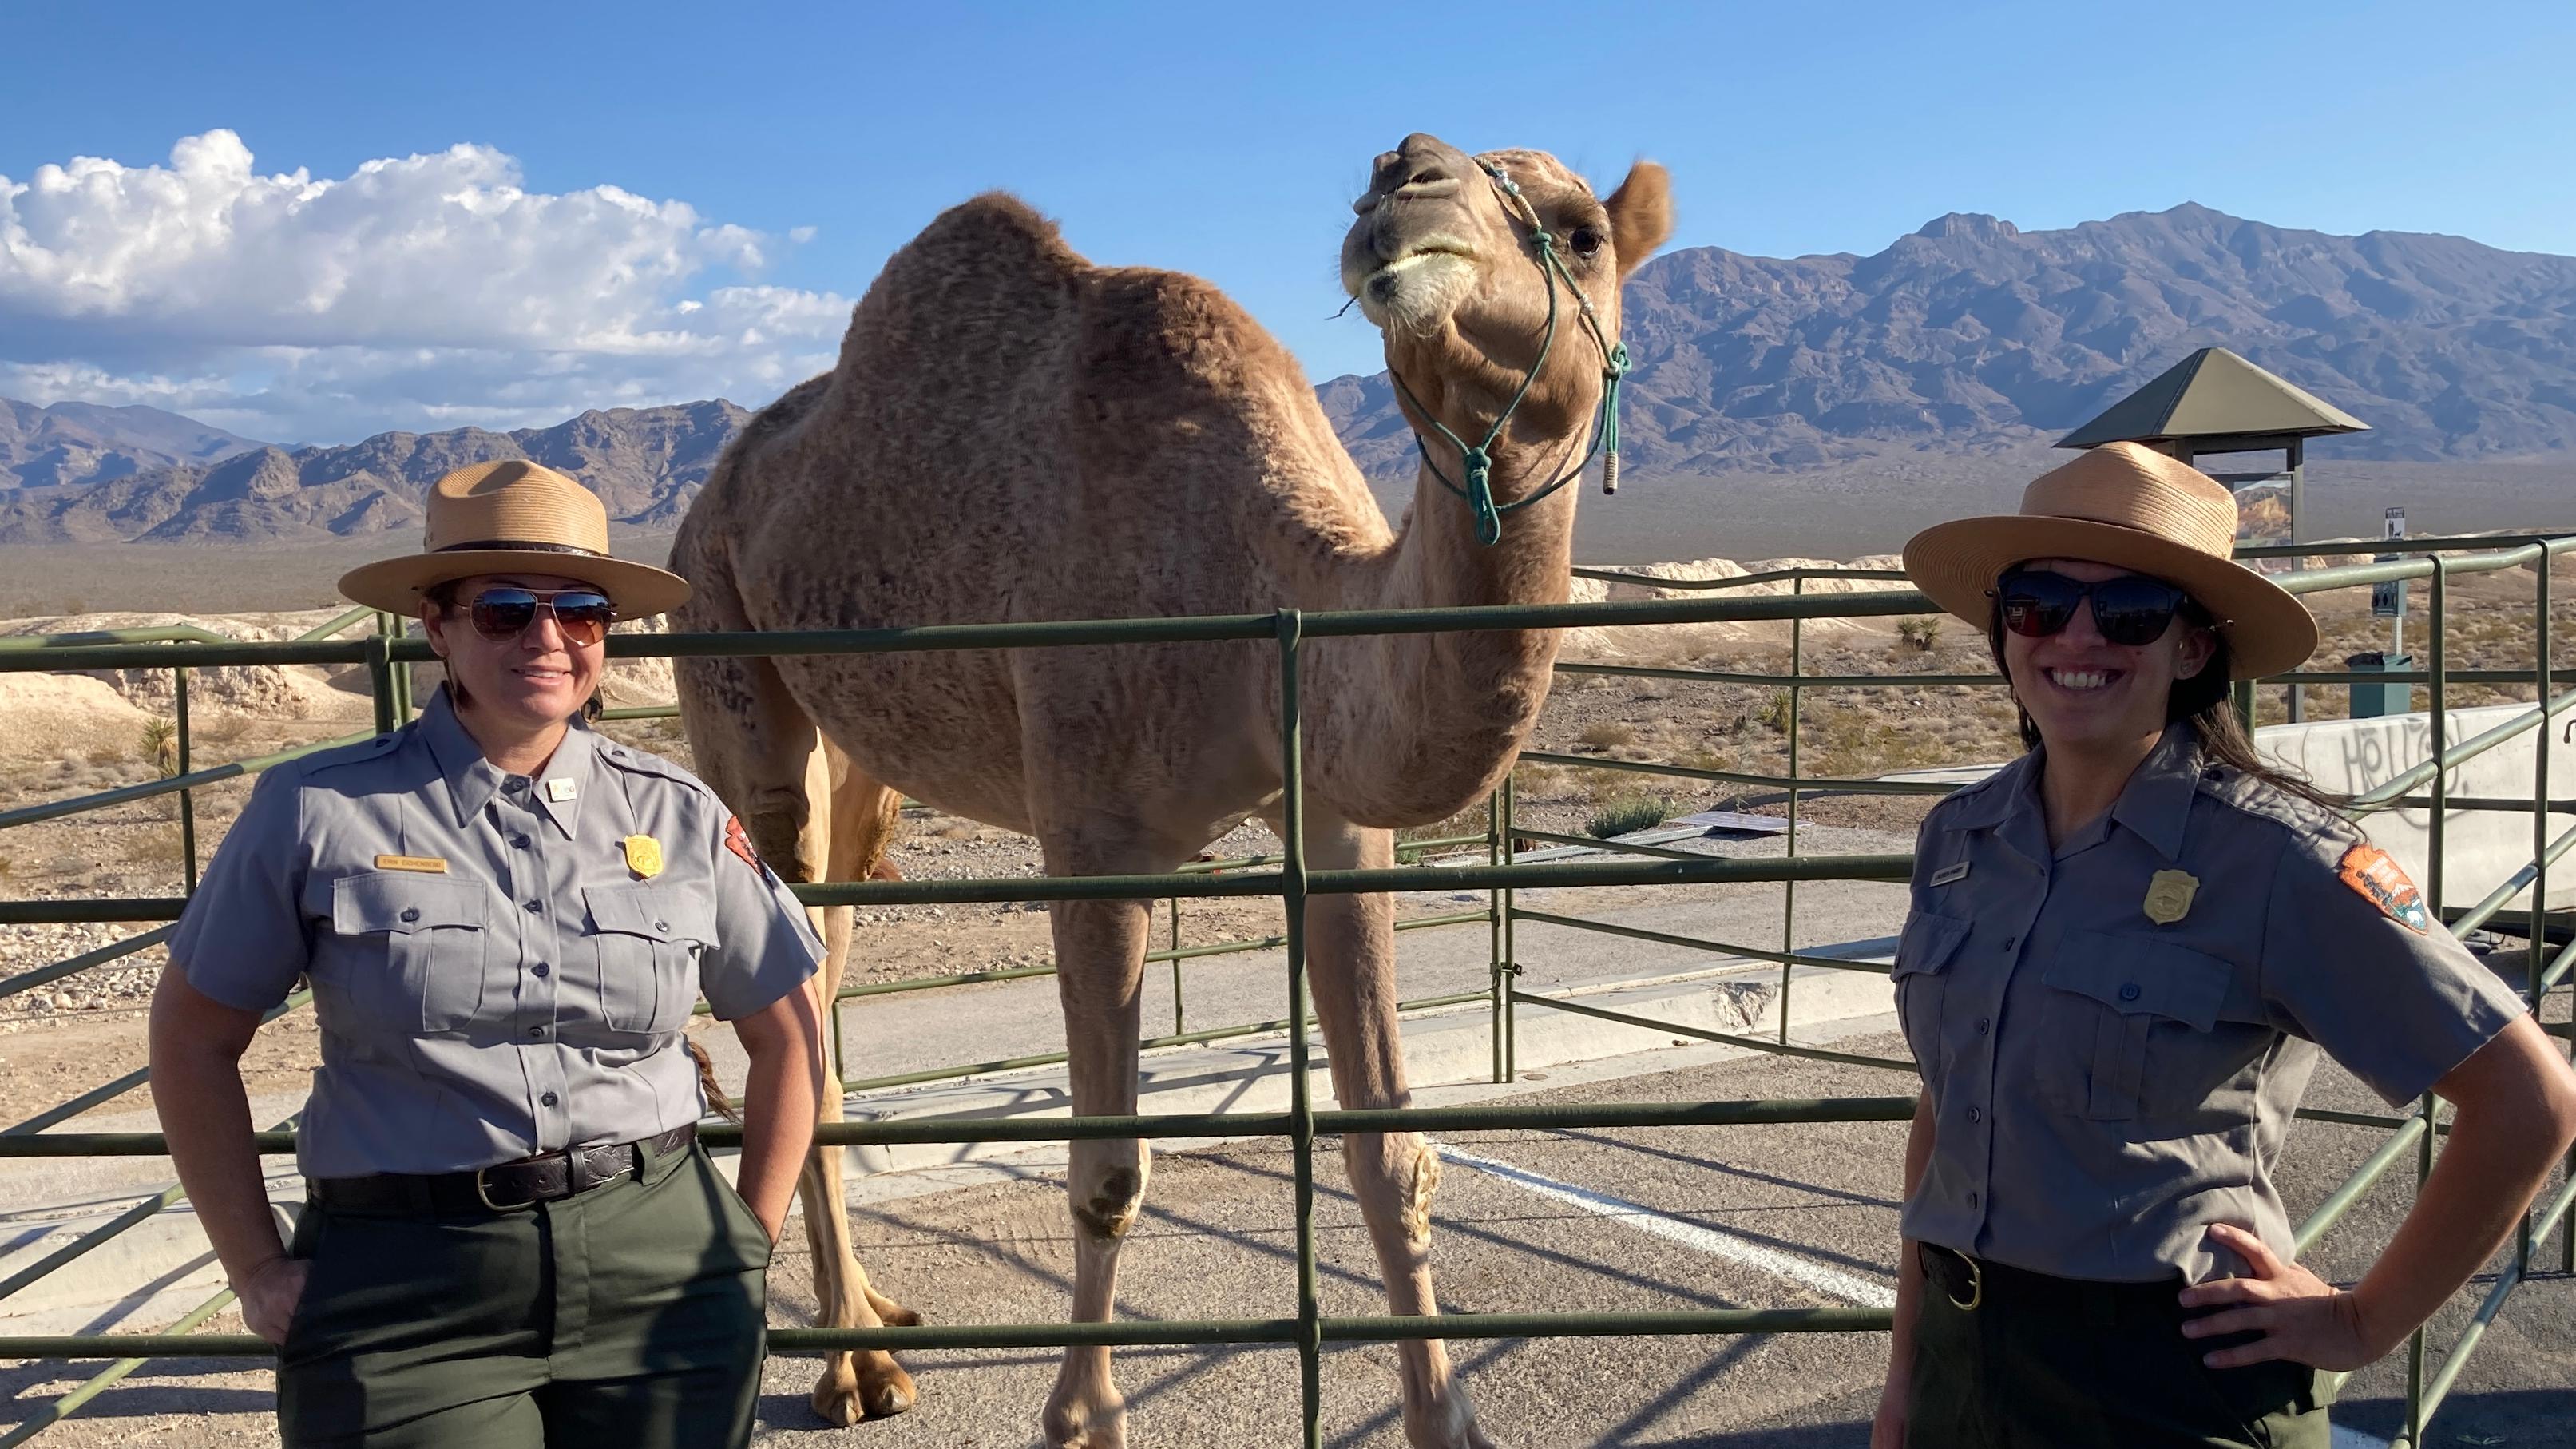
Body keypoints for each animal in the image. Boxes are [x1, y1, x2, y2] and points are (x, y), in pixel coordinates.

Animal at [670, 132, 1671, 1448]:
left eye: (1578, 232)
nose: (1406, 184)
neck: (1256, 573)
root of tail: (706, 496)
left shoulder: (1338, 818)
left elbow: (1390, 1151)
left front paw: (1447, 1418)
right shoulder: (1092, 834)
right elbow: (1106, 1172)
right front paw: (1079, 1418)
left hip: (860, 770)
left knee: (820, 994)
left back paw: (879, 1319)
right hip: (721, 648)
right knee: (783, 953)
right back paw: (849, 1367)